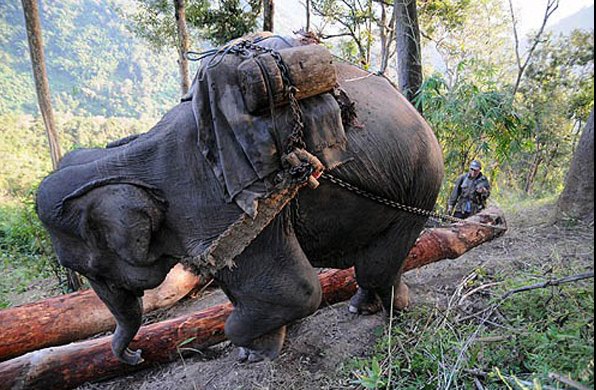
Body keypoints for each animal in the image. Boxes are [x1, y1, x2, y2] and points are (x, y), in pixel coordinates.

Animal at [33, 59, 442, 364]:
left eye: (89, 270)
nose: (135, 356)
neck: (125, 156)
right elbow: (243, 286)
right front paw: (260, 348)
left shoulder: (221, 203)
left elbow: (297, 292)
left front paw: (248, 352)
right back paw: (364, 306)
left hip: (421, 183)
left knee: (376, 266)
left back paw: (395, 309)